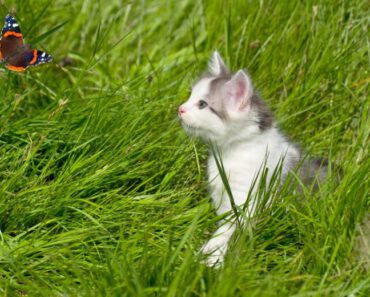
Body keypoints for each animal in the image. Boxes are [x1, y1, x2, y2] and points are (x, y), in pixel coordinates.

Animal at [179, 51, 326, 266]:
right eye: (190, 96)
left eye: (202, 104)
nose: (180, 109)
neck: (229, 153)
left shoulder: (247, 198)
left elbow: (226, 230)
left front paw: (211, 257)